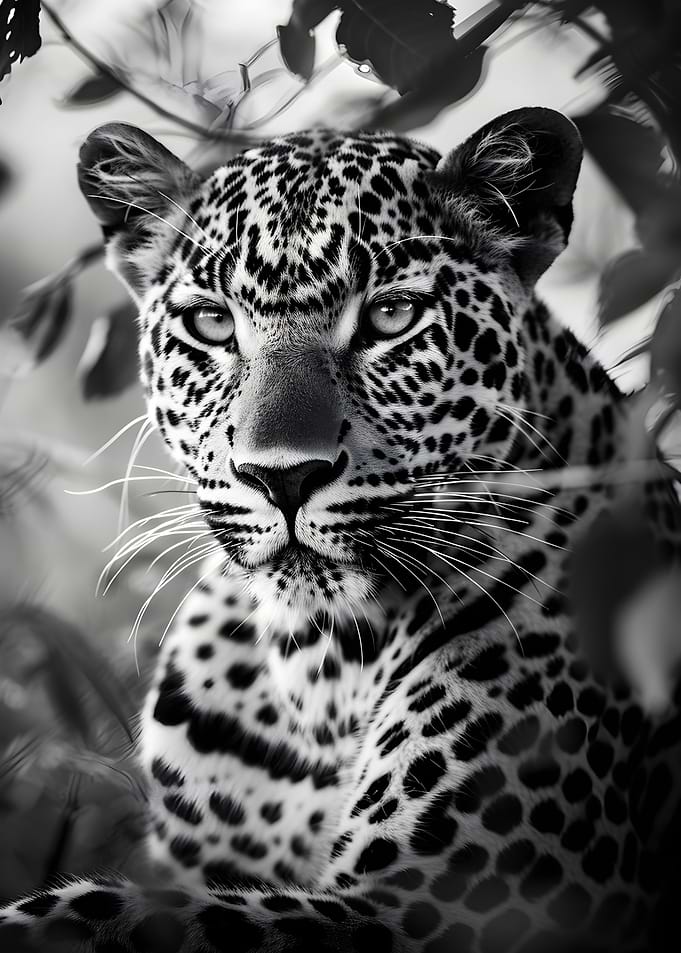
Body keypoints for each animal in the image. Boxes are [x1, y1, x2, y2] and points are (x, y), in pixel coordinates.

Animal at [2, 106, 681, 953]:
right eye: (211, 323)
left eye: (390, 316)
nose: (283, 476)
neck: (319, 666)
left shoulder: (448, 906)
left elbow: (93, 912)